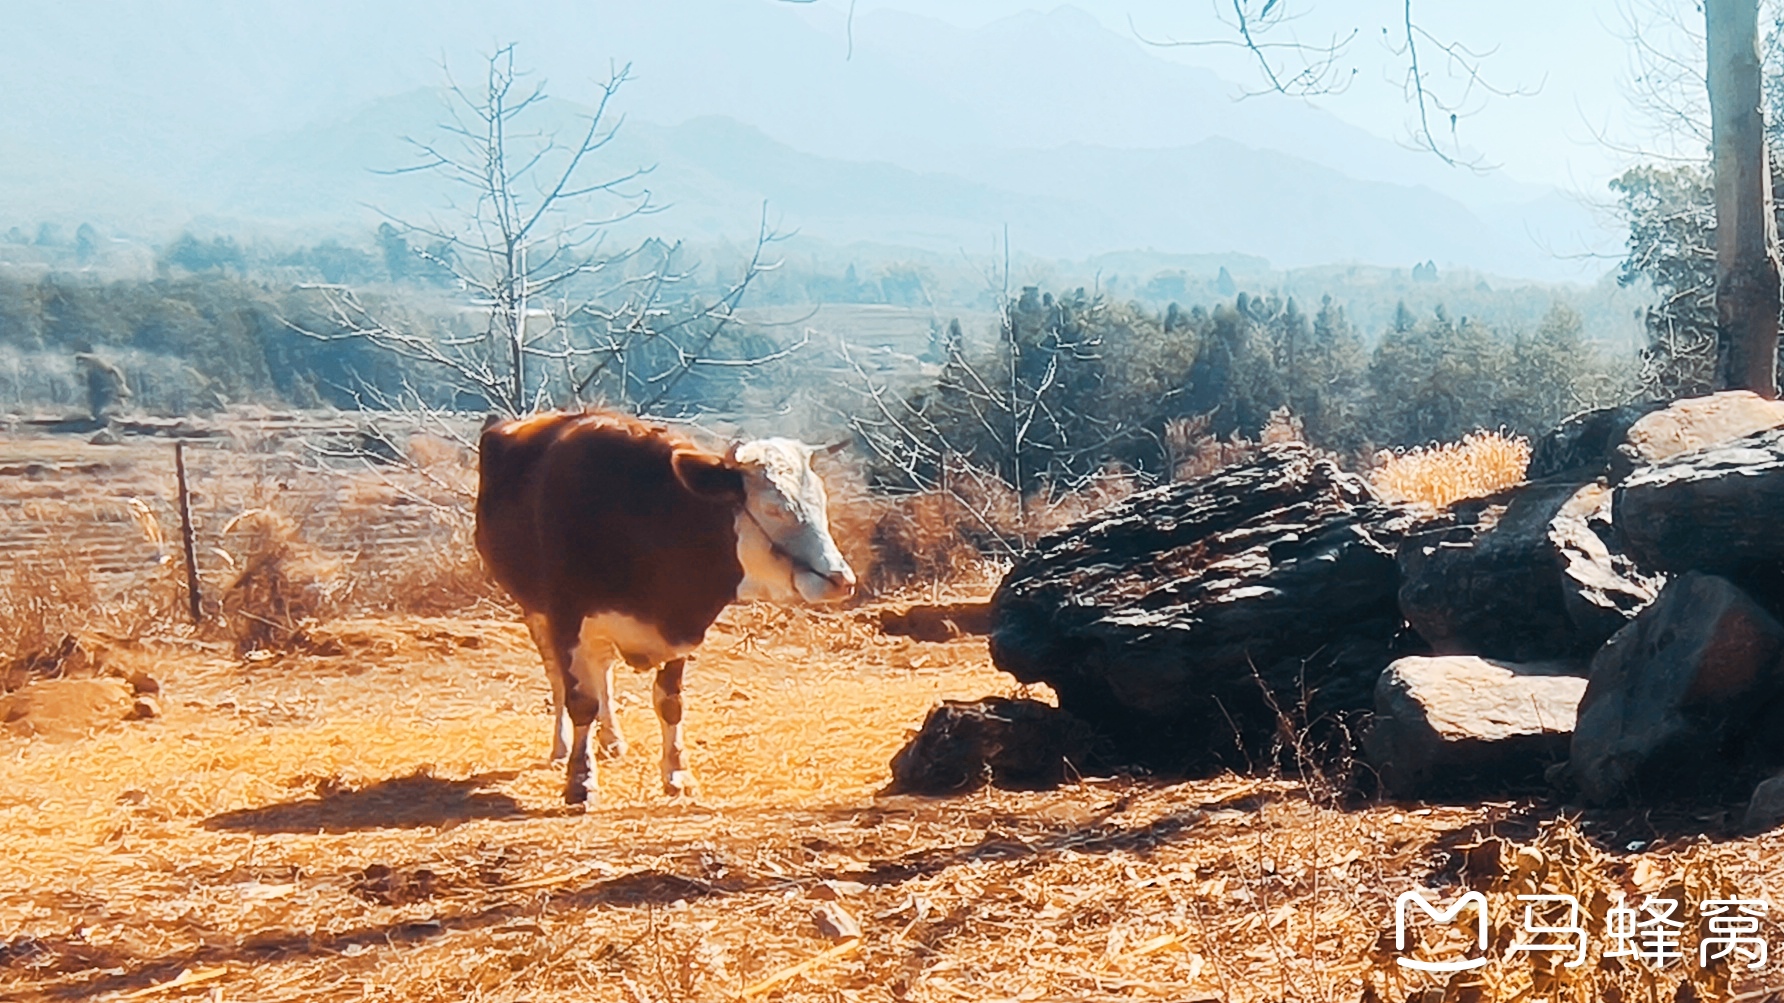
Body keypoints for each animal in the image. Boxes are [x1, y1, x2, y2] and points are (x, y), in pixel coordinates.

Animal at [474, 410, 849, 799]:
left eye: (820, 503)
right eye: (774, 508)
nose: (841, 579)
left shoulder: (679, 630)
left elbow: (669, 703)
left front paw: (677, 773)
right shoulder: (567, 618)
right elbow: (581, 701)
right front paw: (580, 777)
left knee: (602, 670)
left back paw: (611, 739)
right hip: (535, 611)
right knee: (558, 678)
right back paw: (562, 747)